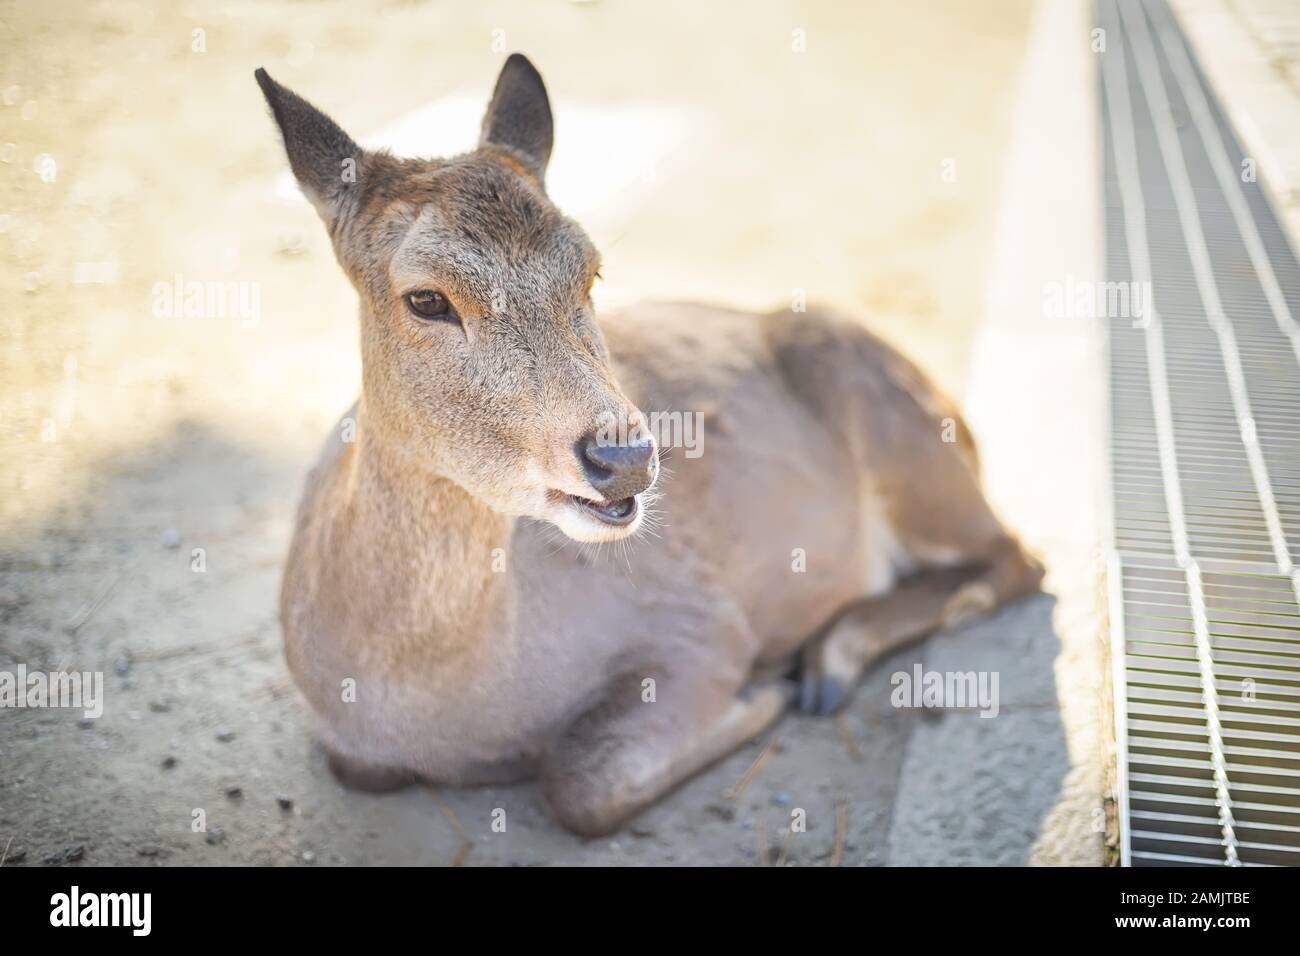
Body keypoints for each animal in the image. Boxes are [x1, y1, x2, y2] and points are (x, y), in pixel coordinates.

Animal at [258, 54, 1040, 837]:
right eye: (425, 298)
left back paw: (825, 667)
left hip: (906, 440)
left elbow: (580, 782)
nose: (625, 458)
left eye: (591, 271)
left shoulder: (701, 623)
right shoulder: (350, 745)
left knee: (1019, 556)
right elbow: (360, 768)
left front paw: (759, 697)